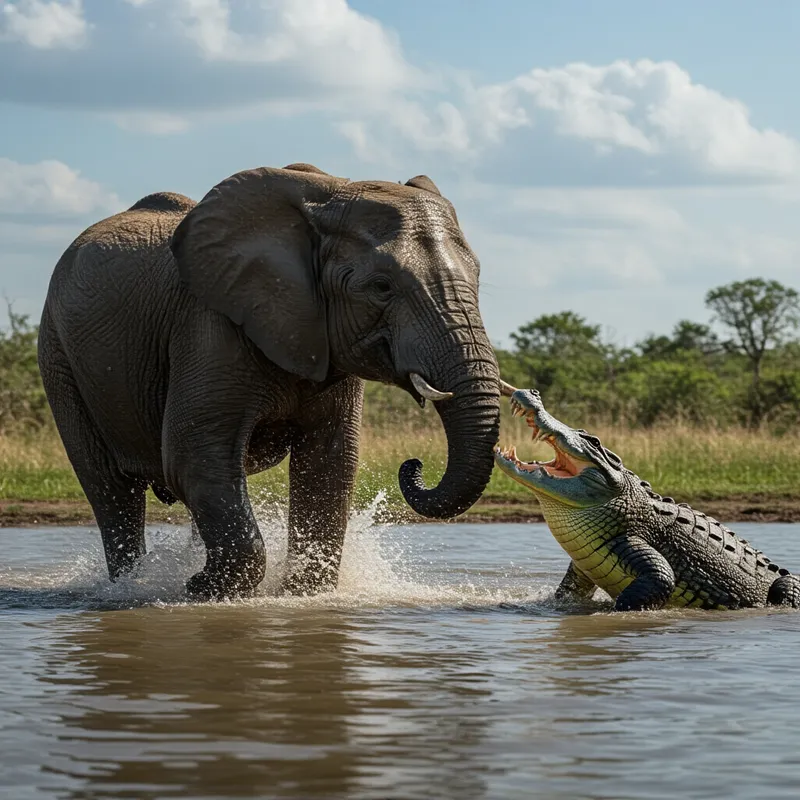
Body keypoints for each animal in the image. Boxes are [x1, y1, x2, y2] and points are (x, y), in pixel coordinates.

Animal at [38, 162, 506, 600]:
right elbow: (194, 455)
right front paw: (198, 590)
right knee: (111, 489)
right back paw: (131, 586)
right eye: (381, 286)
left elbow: (329, 462)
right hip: (58, 355)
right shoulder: (208, 326)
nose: (413, 465)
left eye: (478, 277)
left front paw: (301, 595)